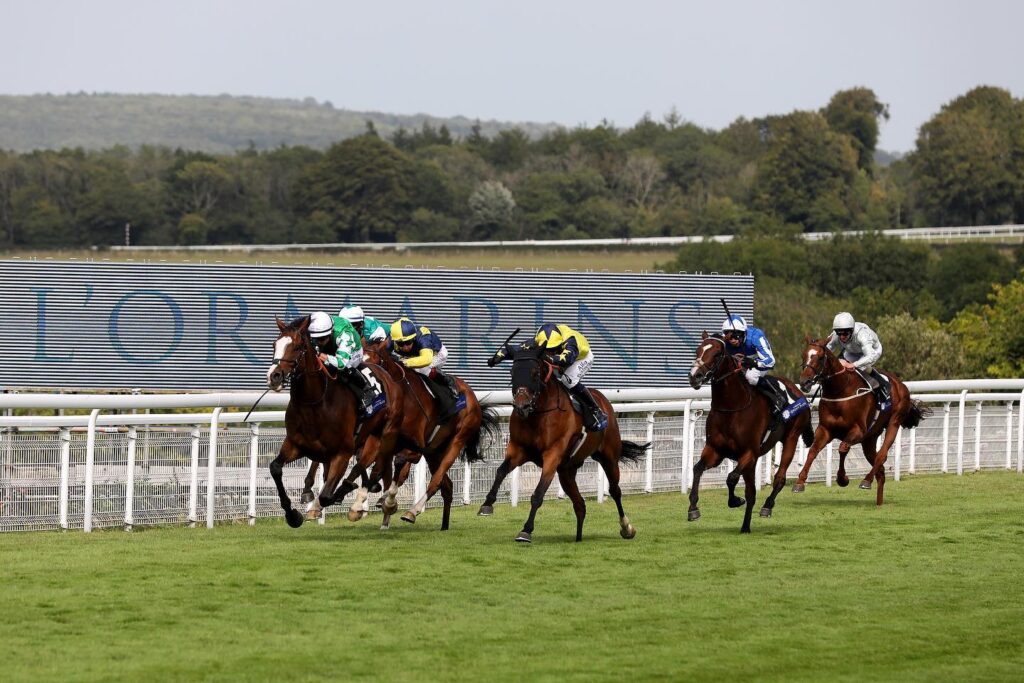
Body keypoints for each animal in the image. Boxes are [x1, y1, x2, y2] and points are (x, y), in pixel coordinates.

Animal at [264, 315, 403, 528]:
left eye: (297, 347)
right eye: (274, 344)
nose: (274, 376)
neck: (315, 402)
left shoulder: (342, 453)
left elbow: (327, 495)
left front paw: (340, 495)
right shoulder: (295, 445)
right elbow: (275, 468)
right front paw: (293, 515)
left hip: (378, 439)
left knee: (367, 467)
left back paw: (366, 503)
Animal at [475, 344, 643, 548]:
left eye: (535, 373)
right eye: (512, 372)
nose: (522, 407)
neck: (538, 414)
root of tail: (603, 401)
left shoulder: (552, 455)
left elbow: (538, 493)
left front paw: (526, 530)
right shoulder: (518, 450)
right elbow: (500, 471)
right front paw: (487, 504)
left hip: (608, 457)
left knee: (615, 491)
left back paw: (627, 528)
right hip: (567, 471)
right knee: (580, 504)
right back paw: (578, 538)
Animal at [688, 331, 815, 532]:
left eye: (716, 354)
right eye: (698, 350)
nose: (695, 376)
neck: (732, 408)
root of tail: (798, 390)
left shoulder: (750, 452)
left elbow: (731, 477)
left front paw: (735, 500)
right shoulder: (715, 451)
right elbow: (697, 469)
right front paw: (693, 508)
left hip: (791, 438)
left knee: (779, 478)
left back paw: (766, 507)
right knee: (752, 492)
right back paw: (745, 527)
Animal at [790, 337, 929, 505]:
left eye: (821, 357)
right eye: (803, 355)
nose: (805, 381)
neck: (840, 390)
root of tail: (900, 385)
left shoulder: (858, 430)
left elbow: (843, 448)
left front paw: (842, 479)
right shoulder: (825, 430)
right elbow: (813, 451)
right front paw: (799, 482)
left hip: (894, 423)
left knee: (882, 455)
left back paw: (866, 481)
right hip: (869, 439)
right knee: (880, 469)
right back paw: (878, 501)